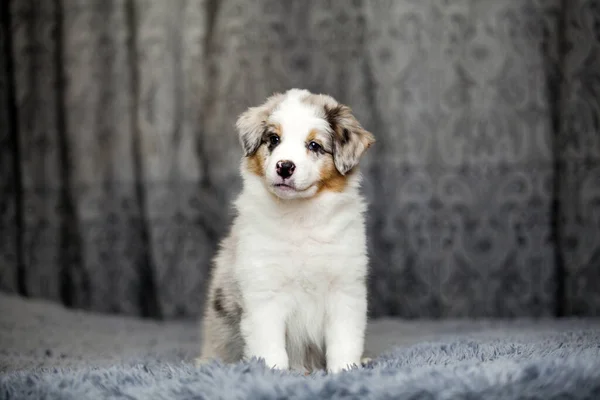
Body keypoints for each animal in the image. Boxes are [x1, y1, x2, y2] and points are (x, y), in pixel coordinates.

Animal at [197, 88, 376, 376]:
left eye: (314, 145)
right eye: (274, 139)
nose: (284, 166)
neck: (299, 217)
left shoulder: (345, 289)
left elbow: (344, 341)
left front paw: (345, 370)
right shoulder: (264, 292)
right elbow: (271, 347)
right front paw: (273, 374)